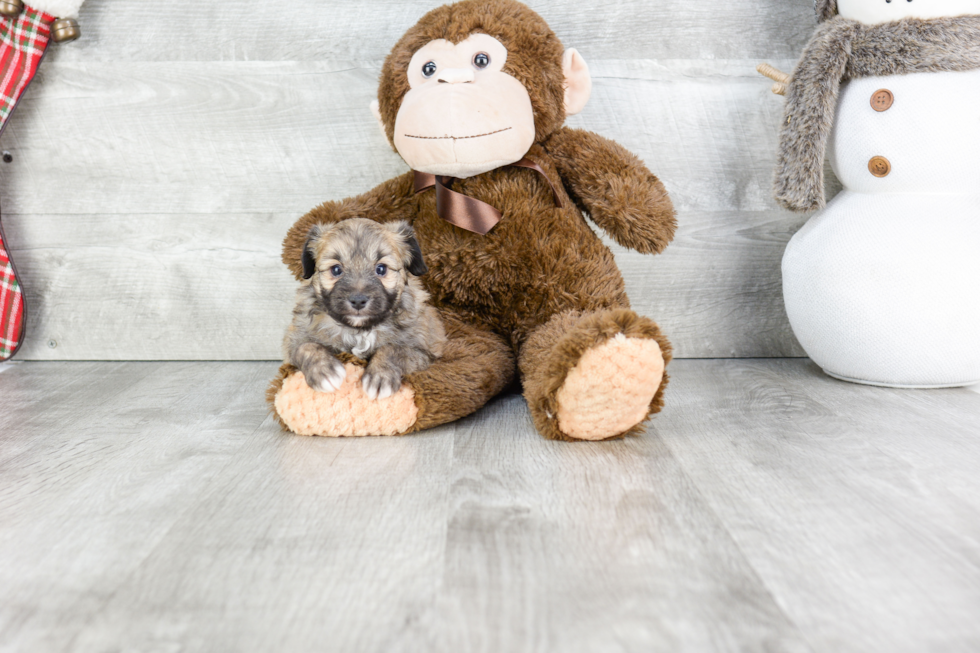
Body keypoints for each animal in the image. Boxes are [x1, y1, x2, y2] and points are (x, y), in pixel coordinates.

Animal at [282, 218, 446, 398]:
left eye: (381, 269)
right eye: (336, 269)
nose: (358, 301)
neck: (359, 331)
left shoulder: (423, 351)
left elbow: (395, 349)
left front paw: (380, 376)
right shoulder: (293, 339)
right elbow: (306, 347)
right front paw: (325, 371)